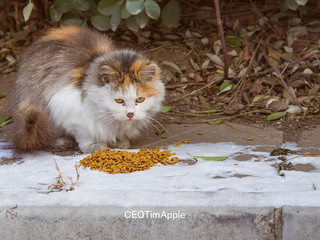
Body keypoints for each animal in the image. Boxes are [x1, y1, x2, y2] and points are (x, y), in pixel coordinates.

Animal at [10, 26, 165, 153]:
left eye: (140, 99)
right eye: (119, 100)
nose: (130, 114)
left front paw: (120, 141)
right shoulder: (67, 109)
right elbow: (85, 134)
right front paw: (94, 146)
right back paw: (62, 142)